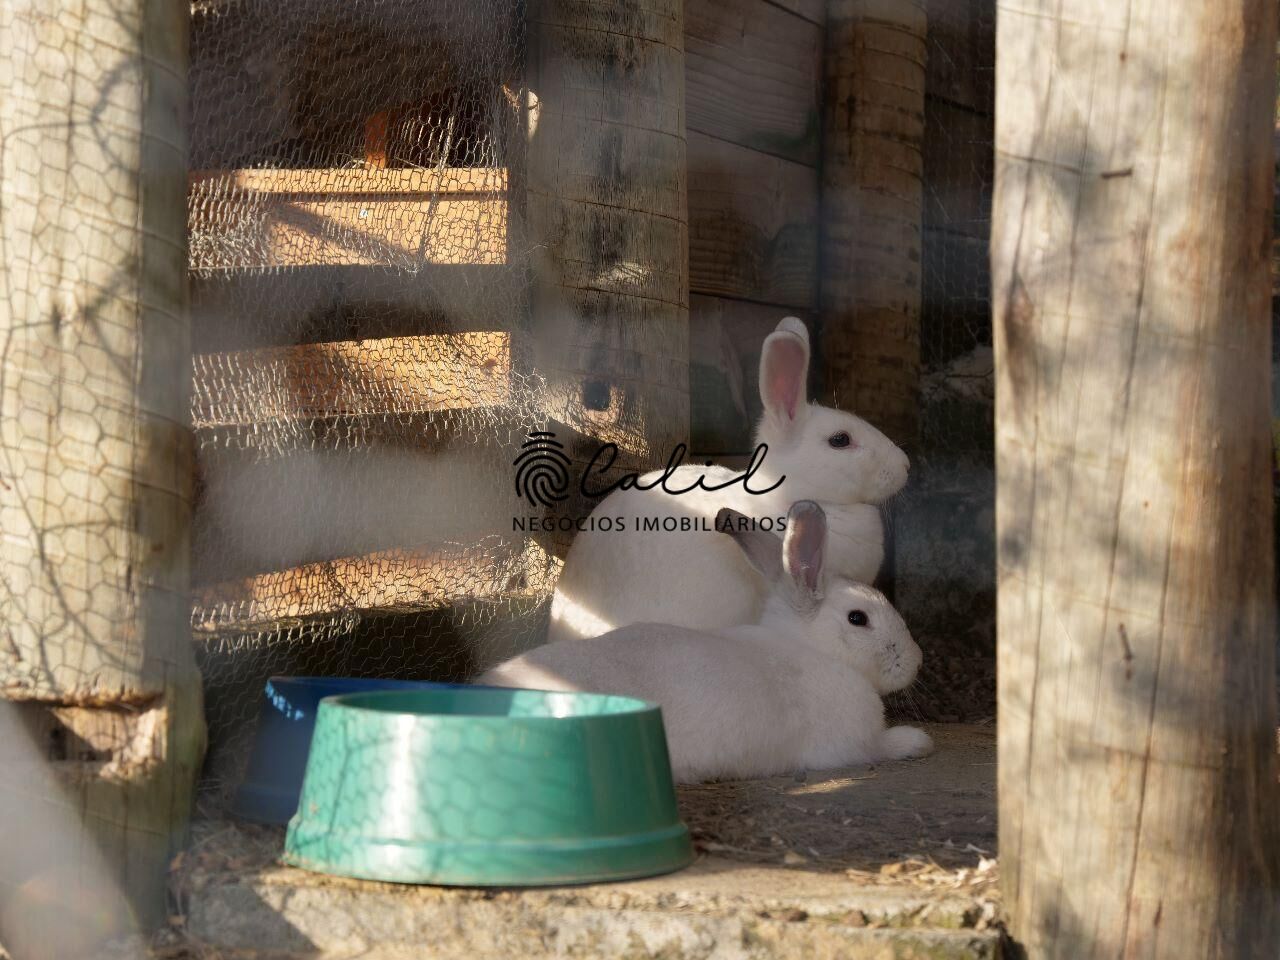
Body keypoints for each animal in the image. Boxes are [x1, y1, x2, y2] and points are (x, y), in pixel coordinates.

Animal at [481, 499, 931, 783]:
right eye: (859, 618)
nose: (916, 659)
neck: (811, 650)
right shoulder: (851, 745)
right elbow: (883, 746)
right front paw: (918, 741)